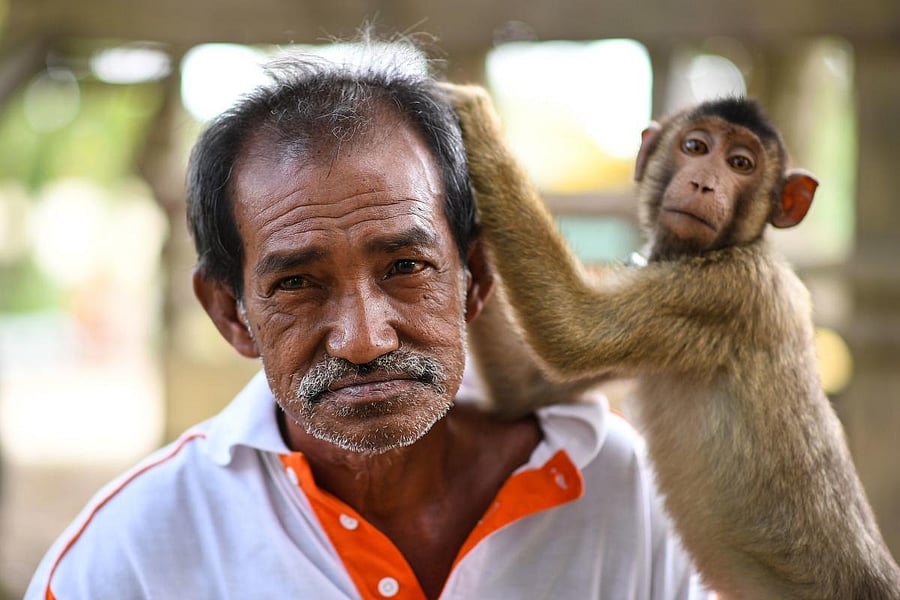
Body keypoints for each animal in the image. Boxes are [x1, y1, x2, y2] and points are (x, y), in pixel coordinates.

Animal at [443, 83, 900, 600]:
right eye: (696, 147)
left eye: (741, 163)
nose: (704, 183)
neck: (731, 246)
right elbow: (521, 386)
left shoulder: (729, 290)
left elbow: (573, 328)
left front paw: (471, 110)